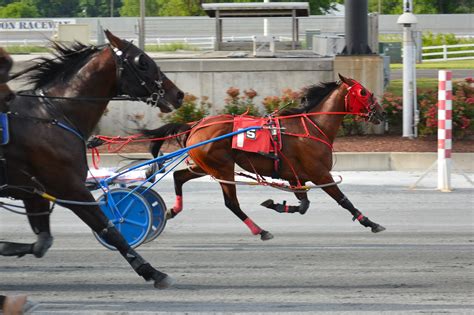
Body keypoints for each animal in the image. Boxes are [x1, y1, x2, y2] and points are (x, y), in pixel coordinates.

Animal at [0, 30, 184, 290]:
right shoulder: (70, 188)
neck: (51, 116)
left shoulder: (35, 191)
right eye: (142, 61)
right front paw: (153, 272)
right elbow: (110, 229)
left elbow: (42, 244)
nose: (178, 94)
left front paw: (6, 246)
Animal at [146, 75, 386, 241]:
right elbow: (343, 200)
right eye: (363, 92)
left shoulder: (295, 176)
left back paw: (173, 210)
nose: (381, 112)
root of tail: (195, 126)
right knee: (231, 203)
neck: (312, 127)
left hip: (204, 166)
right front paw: (371, 223)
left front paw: (275, 204)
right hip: (222, 168)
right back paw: (260, 230)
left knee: (178, 177)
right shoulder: (320, 173)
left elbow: (304, 205)